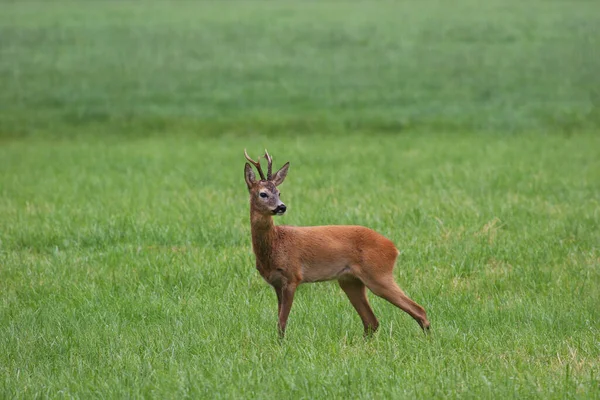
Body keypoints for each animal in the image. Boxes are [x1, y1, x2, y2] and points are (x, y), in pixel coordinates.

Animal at [244, 150, 432, 338]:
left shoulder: (292, 277)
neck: (275, 244)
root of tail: (394, 248)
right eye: (263, 194)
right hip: (350, 281)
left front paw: (282, 343)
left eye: (279, 192)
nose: (281, 207)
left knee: (418, 310)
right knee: (371, 321)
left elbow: (282, 323)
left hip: (378, 274)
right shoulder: (276, 283)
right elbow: (279, 320)